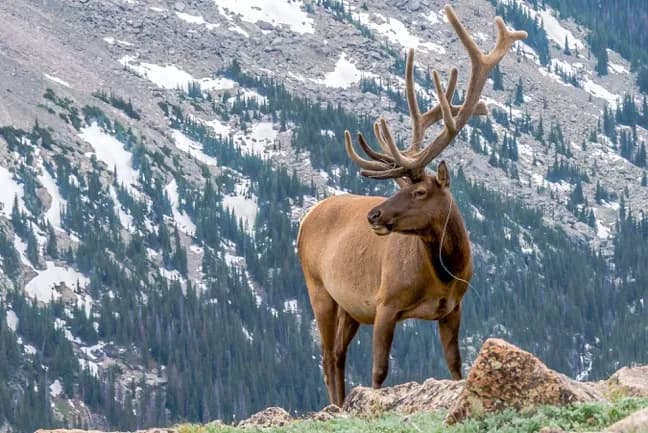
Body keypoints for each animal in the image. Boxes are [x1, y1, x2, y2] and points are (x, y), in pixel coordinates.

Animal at [297, 5, 527, 407]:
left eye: (419, 192)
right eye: (402, 187)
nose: (373, 214)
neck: (444, 273)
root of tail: (306, 217)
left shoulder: (453, 308)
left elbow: (455, 366)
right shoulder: (384, 302)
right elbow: (378, 371)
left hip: (349, 305)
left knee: (337, 354)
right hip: (318, 288)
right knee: (326, 355)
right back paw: (335, 407)